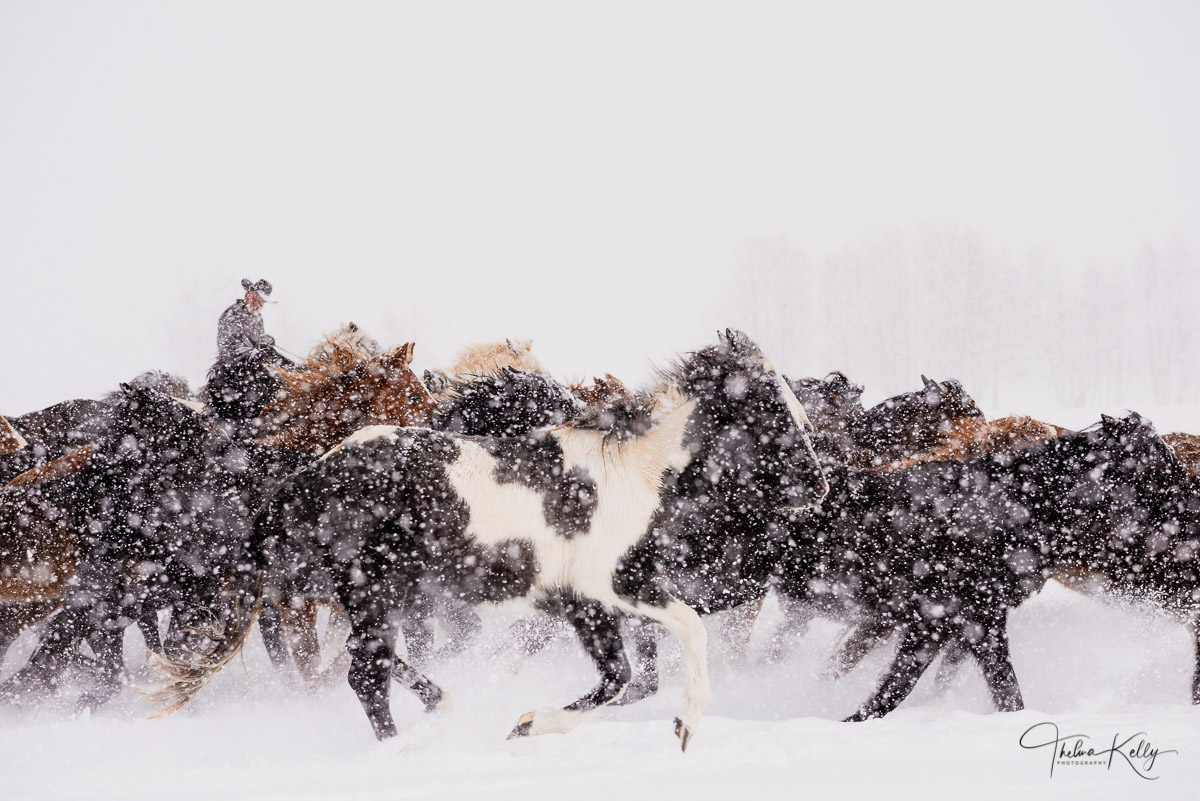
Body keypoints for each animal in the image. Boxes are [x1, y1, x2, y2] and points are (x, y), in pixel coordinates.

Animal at [159, 328, 830, 748]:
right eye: (771, 407)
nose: (819, 487)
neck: (630, 476)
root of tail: (307, 476)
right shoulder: (620, 587)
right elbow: (687, 634)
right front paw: (685, 726)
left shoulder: (584, 607)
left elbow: (618, 681)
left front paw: (526, 724)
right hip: (375, 592)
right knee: (364, 673)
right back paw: (408, 744)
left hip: (379, 597)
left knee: (365, 665)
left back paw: (437, 713)